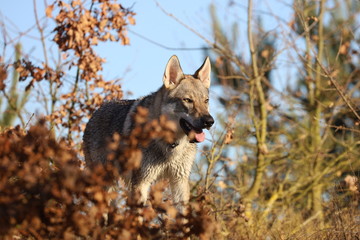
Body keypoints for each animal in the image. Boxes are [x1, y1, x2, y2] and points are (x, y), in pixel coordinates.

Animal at [82, 55, 214, 205]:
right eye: (188, 100)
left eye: (206, 101)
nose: (209, 121)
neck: (170, 143)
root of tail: (97, 111)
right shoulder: (141, 183)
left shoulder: (179, 181)